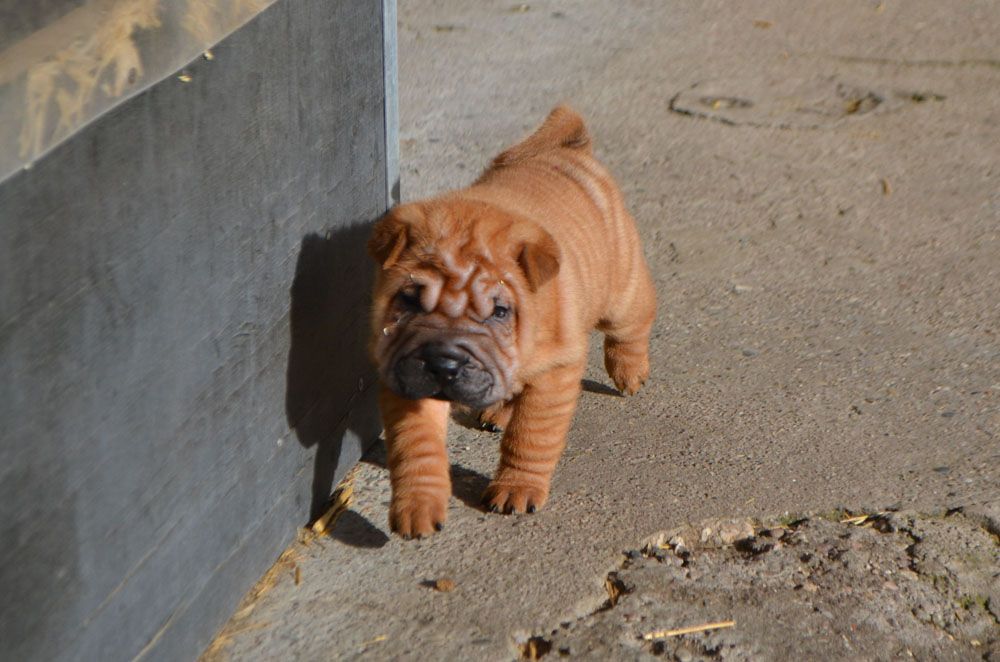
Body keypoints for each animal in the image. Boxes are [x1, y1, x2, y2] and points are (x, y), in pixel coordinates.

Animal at [368, 105, 656, 540]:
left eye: (498, 311)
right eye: (411, 300)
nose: (444, 364)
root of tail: (567, 151)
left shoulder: (555, 370)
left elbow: (531, 434)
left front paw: (517, 489)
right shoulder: (401, 371)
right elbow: (415, 445)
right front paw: (417, 506)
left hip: (620, 291)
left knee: (635, 321)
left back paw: (629, 371)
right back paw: (498, 411)